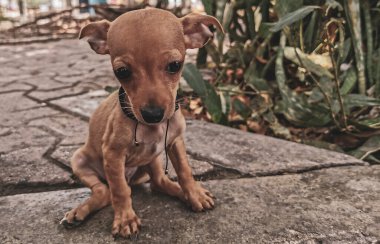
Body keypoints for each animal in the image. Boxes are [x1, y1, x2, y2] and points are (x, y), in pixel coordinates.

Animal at [60, 8, 224, 238]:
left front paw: (194, 194)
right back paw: (79, 213)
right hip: (79, 160)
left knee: (158, 182)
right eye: (122, 72)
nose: (153, 114)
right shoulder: (112, 154)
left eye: (175, 65)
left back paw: (182, 193)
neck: (153, 128)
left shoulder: (175, 142)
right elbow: (120, 191)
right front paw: (125, 219)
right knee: (105, 191)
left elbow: (185, 171)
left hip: (152, 161)